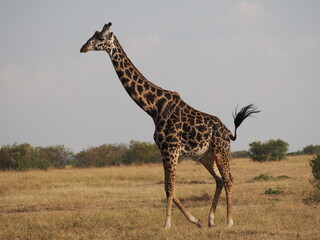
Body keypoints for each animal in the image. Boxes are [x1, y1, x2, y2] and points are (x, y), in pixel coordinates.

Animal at [80, 23, 260, 229]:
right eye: (93, 35)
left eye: (101, 38)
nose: (83, 47)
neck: (153, 108)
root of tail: (229, 131)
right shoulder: (165, 150)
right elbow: (169, 188)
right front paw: (195, 220)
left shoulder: (170, 149)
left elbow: (169, 187)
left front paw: (167, 224)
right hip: (205, 156)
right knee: (220, 180)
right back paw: (210, 220)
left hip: (221, 150)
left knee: (229, 179)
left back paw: (229, 221)